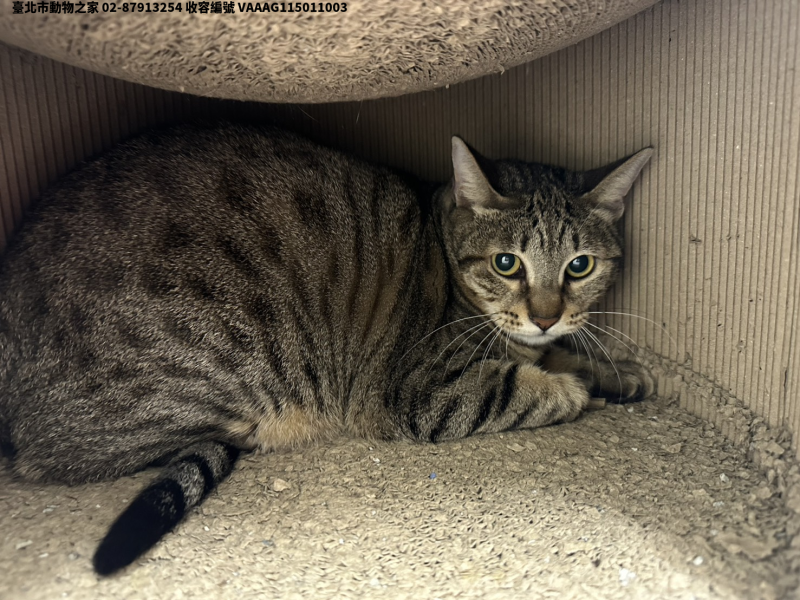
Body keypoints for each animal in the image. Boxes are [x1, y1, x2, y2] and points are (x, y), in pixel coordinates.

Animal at [0, 122, 653, 575]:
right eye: (506, 263)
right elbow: (527, 387)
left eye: (580, 266)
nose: (546, 316)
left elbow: (563, 355)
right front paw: (580, 388)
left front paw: (618, 372)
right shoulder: (423, 392)